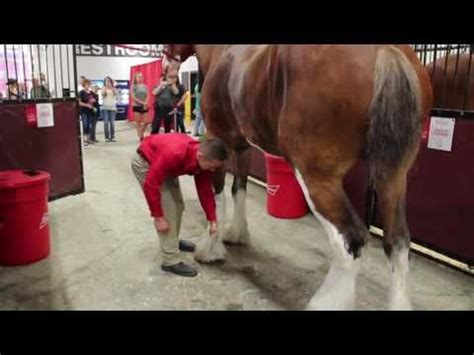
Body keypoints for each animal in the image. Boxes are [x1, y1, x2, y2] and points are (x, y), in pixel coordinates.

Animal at [164, 45, 434, 312]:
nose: (167, 70)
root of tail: (385, 50)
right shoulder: (243, 149)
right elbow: (238, 188)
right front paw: (237, 235)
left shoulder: (218, 138)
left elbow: (217, 194)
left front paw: (210, 249)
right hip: (393, 176)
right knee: (397, 241)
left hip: (316, 177)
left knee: (351, 239)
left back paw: (324, 302)